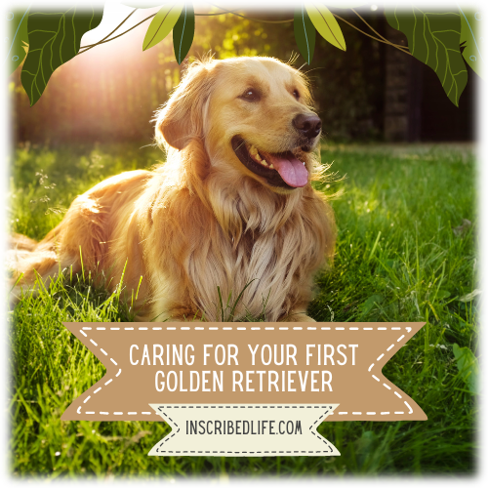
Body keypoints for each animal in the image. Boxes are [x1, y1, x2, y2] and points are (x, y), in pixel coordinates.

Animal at [5, 57, 336, 322]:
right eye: (250, 94)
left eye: (295, 93)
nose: (313, 124)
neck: (245, 220)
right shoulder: (177, 309)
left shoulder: (291, 306)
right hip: (69, 260)